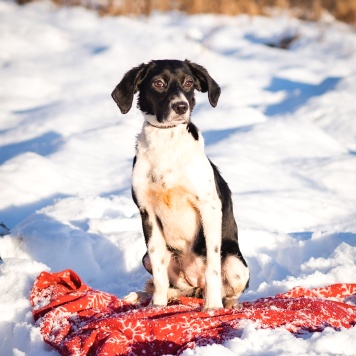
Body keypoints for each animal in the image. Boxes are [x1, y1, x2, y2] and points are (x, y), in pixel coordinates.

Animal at [110, 59, 248, 308]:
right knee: (175, 286)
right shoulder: (147, 213)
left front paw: (213, 307)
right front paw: (157, 306)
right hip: (149, 257)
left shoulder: (209, 208)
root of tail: (196, 285)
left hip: (235, 263)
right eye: (158, 83)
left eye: (188, 82)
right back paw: (145, 295)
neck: (167, 144)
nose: (181, 106)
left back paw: (228, 304)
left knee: (227, 289)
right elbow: (159, 273)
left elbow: (213, 267)